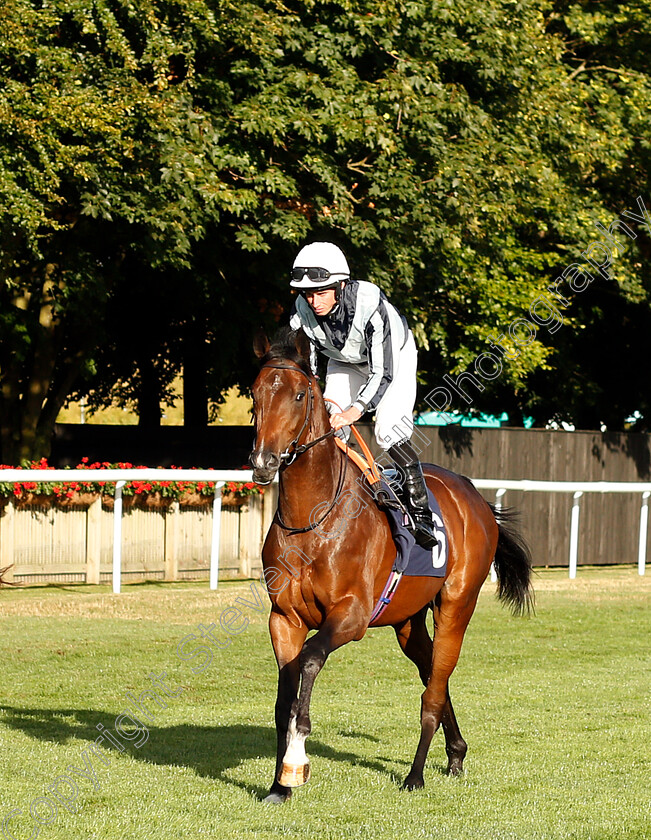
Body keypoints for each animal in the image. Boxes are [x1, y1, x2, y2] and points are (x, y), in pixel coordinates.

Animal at [252, 324, 532, 804]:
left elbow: (309, 663)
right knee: (434, 675)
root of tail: (474, 496)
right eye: (254, 394)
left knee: (433, 692)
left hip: (457, 605)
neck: (312, 520)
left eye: (299, 395)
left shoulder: (351, 616)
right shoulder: (284, 617)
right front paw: (278, 785)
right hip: (408, 621)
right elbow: (283, 696)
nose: (263, 462)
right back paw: (455, 754)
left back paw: (416, 775)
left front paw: (296, 759)